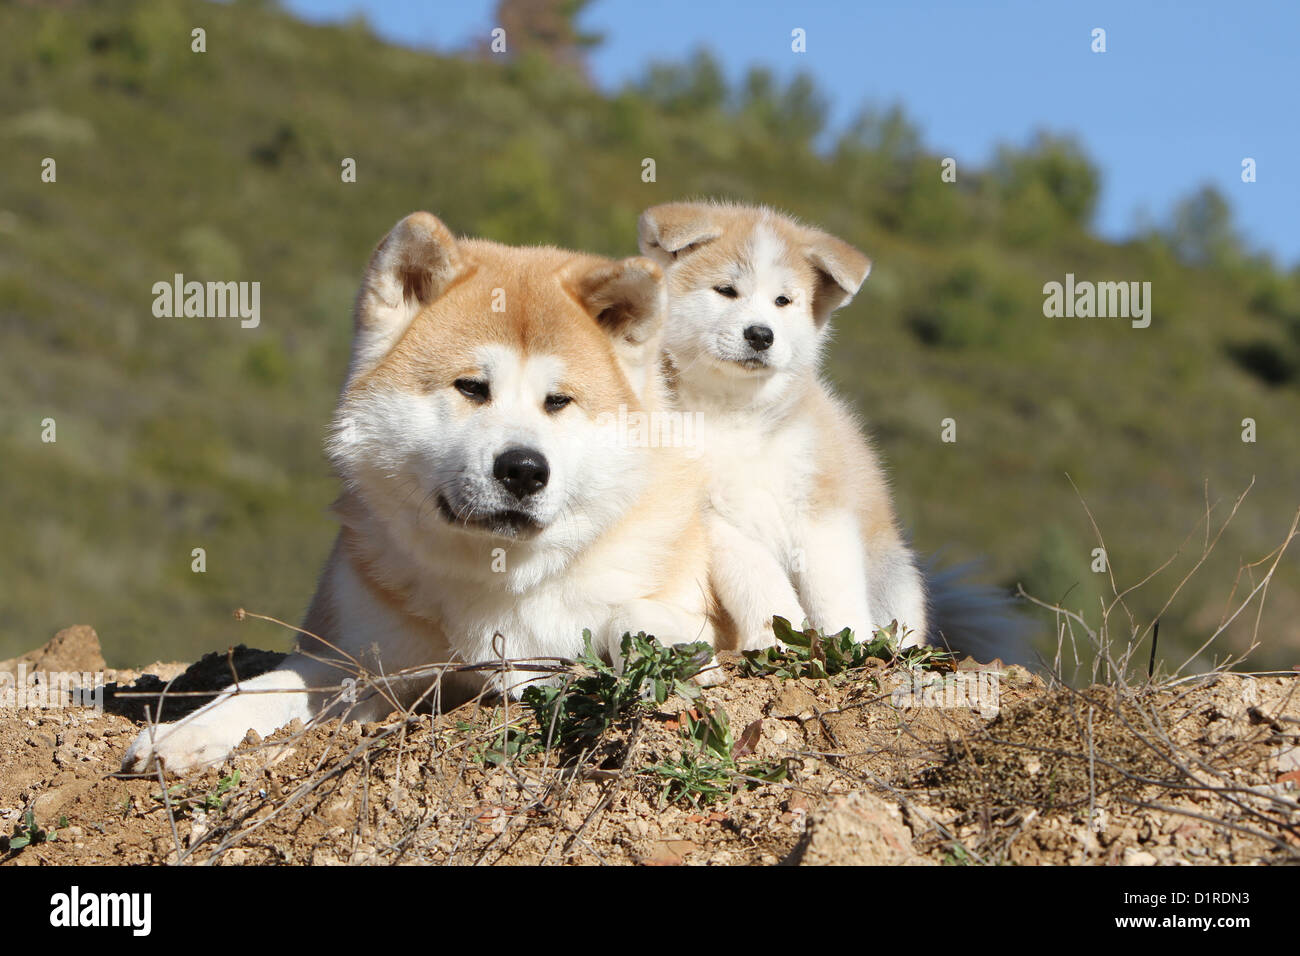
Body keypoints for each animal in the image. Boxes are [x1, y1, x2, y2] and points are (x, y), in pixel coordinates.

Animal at [125, 213, 717, 775]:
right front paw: (183, 733)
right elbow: (261, 688)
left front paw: (667, 656)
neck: (496, 578)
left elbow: (635, 620)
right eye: (471, 387)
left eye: (558, 401)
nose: (524, 469)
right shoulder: (360, 662)